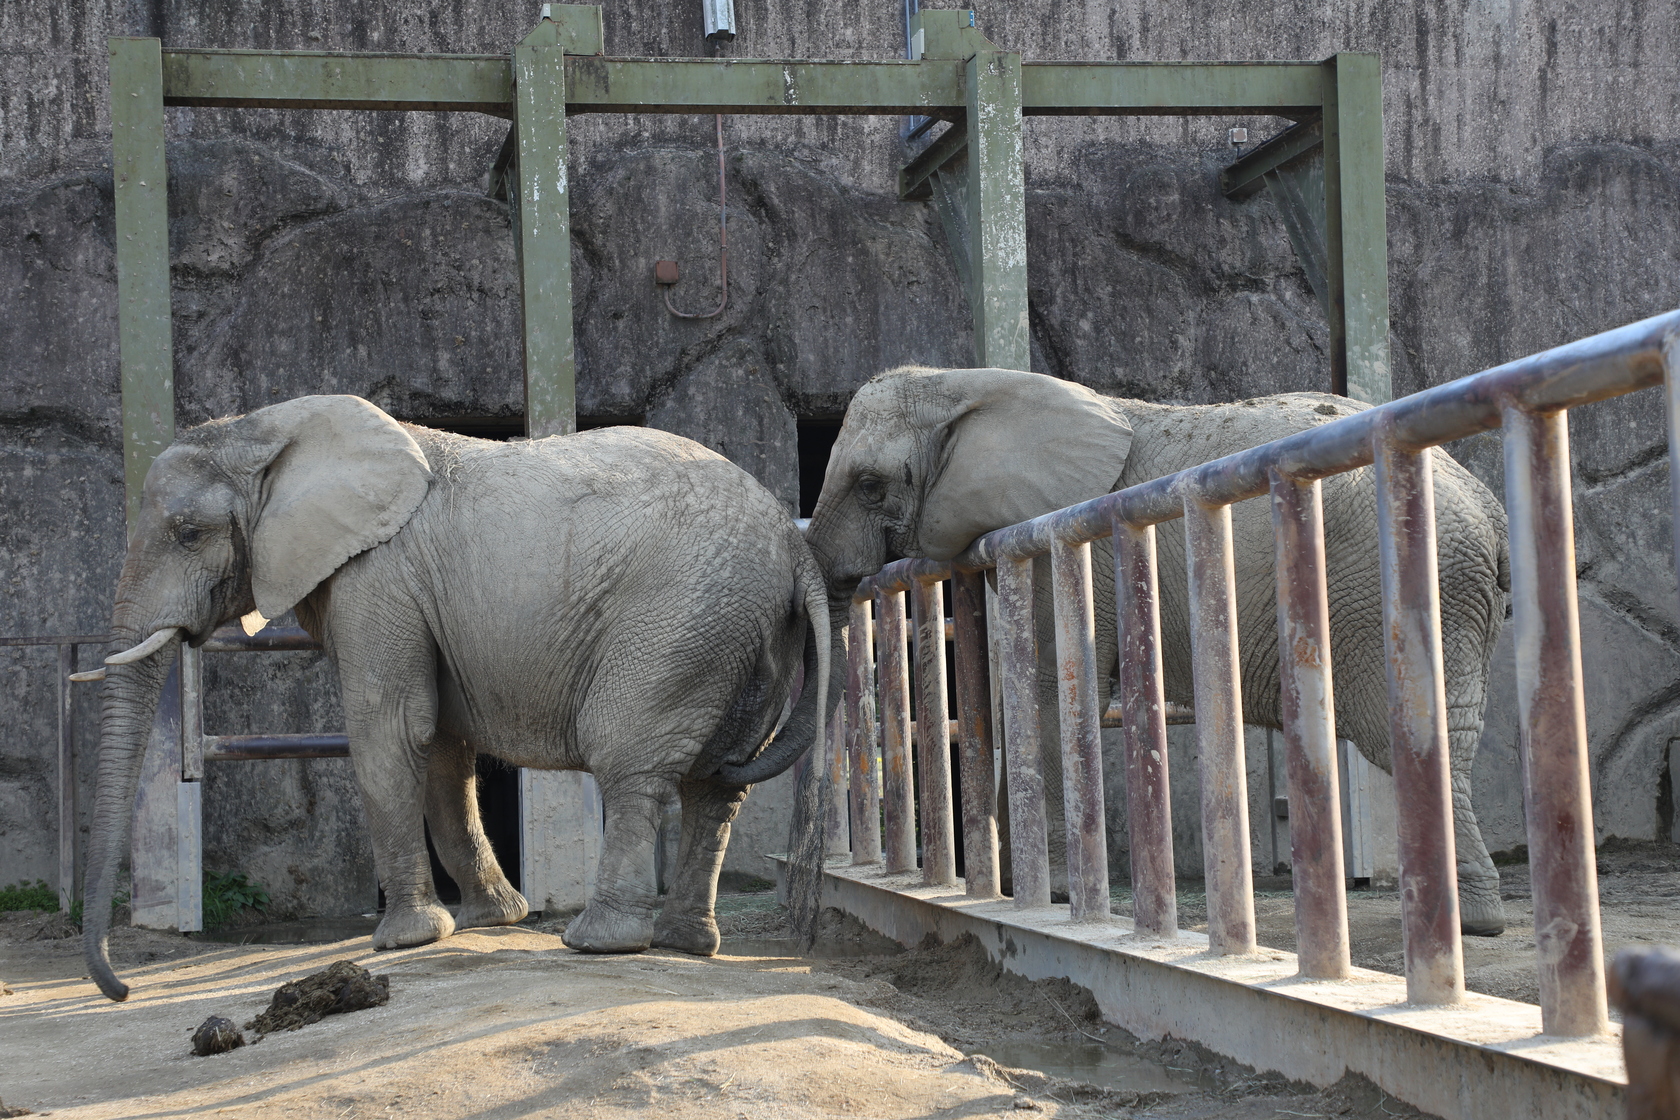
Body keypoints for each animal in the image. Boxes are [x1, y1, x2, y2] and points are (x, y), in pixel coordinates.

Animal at [84, 394, 832, 1001]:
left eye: (188, 533)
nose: (122, 990)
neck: (268, 428)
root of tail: (797, 550)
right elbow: (443, 744)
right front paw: (491, 920)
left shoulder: (376, 577)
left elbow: (390, 730)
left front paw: (405, 940)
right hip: (741, 633)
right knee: (717, 785)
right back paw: (686, 943)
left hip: (679, 622)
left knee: (630, 762)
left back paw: (597, 942)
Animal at [805, 366, 1510, 937]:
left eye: (870, 485)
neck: (968, 383)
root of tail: (1489, 508)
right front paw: (1011, 887)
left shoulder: (1068, 547)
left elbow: (1053, 690)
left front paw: (1046, 896)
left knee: (1403, 735)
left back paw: (1468, 923)